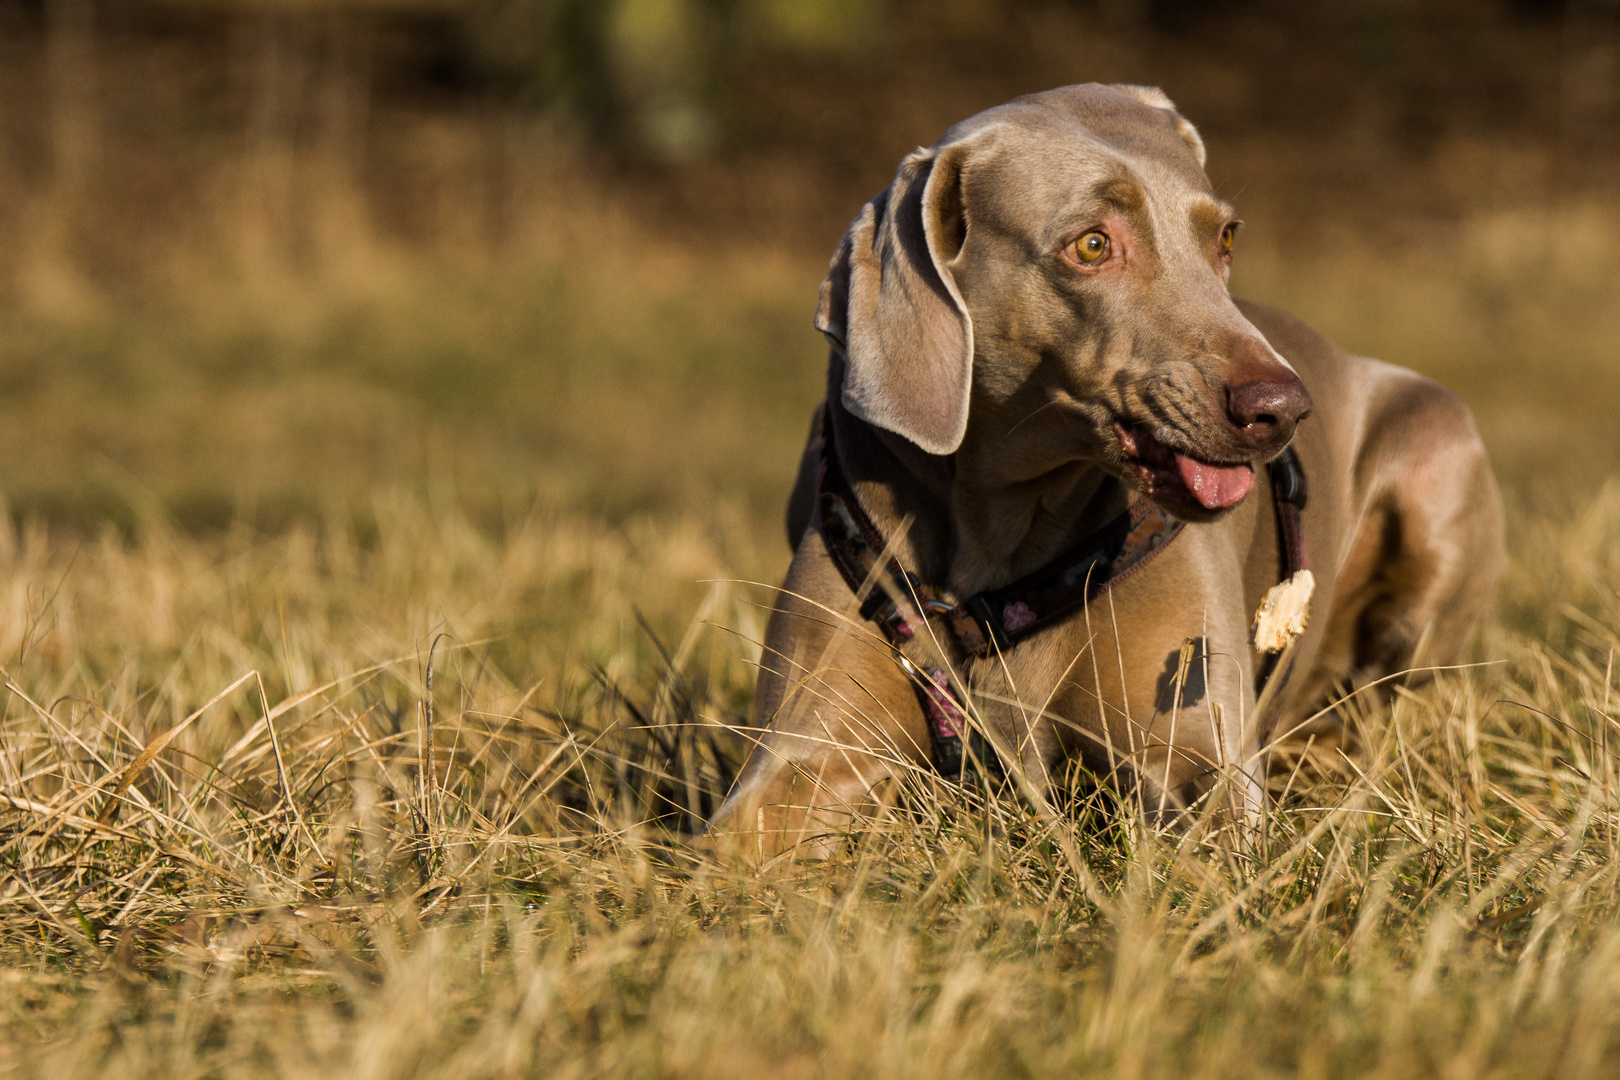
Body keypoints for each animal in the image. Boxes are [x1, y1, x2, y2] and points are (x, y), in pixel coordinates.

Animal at [709, 84, 1503, 854]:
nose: (1282, 408)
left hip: (1437, 455)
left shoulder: (1197, 759)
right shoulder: (804, 754)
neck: (1000, 544)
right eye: (1091, 245)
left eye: (1225, 237)